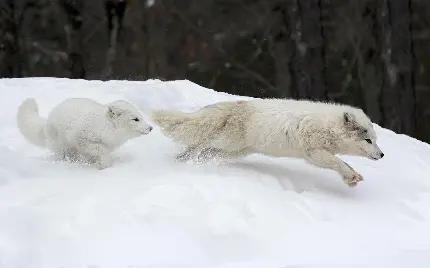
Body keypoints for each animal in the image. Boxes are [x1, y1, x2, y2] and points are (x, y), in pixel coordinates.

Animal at [16, 97, 153, 169]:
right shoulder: (81, 138)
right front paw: (102, 165)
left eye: (141, 117)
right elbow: (101, 151)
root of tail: (46, 123)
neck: (106, 126)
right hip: (63, 147)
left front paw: (97, 163)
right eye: (135, 119)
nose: (151, 128)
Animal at [153, 98, 384, 186]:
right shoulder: (313, 153)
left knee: (201, 151)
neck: (328, 126)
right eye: (368, 140)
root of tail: (234, 105)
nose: (382, 155)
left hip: (232, 151)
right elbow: (339, 163)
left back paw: (183, 161)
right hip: (226, 143)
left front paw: (352, 178)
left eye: (374, 140)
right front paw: (351, 177)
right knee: (198, 144)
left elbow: (343, 163)